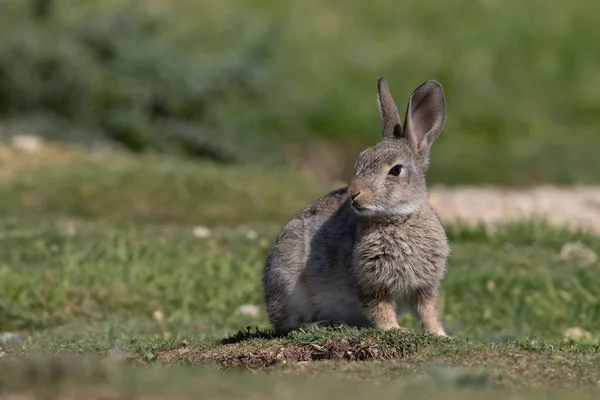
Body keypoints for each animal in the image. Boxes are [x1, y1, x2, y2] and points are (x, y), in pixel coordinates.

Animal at [262, 76, 450, 336]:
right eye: (358, 163)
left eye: (395, 170)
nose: (353, 194)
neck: (397, 218)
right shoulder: (369, 282)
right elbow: (379, 307)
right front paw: (395, 329)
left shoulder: (424, 287)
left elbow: (428, 311)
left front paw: (440, 334)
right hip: (288, 284)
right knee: (287, 325)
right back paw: (323, 322)